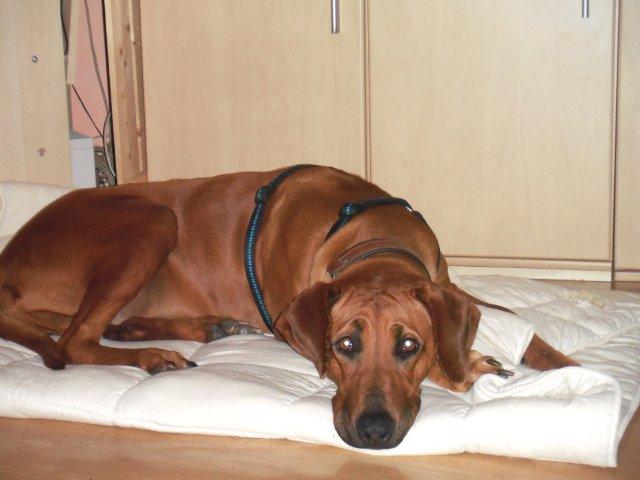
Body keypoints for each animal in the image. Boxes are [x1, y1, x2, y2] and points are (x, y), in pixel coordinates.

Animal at [0, 165, 577, 449]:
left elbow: (527, 330)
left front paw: (573, 366)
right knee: (75, 341)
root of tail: (8, 258)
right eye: (345, 344)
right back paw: (156, 356)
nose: (372, 433)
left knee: (104, 328)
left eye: (408, 345)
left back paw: (201, 329)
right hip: (152, 220)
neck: (374, 239)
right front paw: (468, 367)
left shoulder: (450, 287)